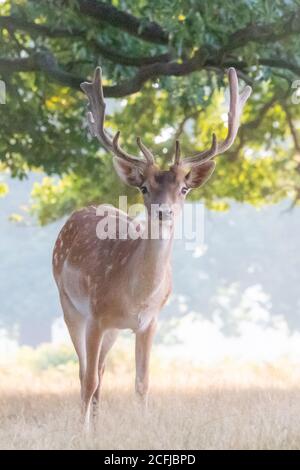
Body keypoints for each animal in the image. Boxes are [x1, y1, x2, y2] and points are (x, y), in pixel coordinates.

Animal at [52, 67, 252, 430]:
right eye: (144, 188)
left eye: (184, 189)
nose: (164, 211)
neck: (137, 295)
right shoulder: (96, 314)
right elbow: (88, 379)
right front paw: (80, 434)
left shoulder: (150, 321)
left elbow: (142, 382)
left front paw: (142, 428)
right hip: (69, 304)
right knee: (86, 372)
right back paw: (88, 426)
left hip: (111, 329)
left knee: (101, 370)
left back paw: (98, 426)